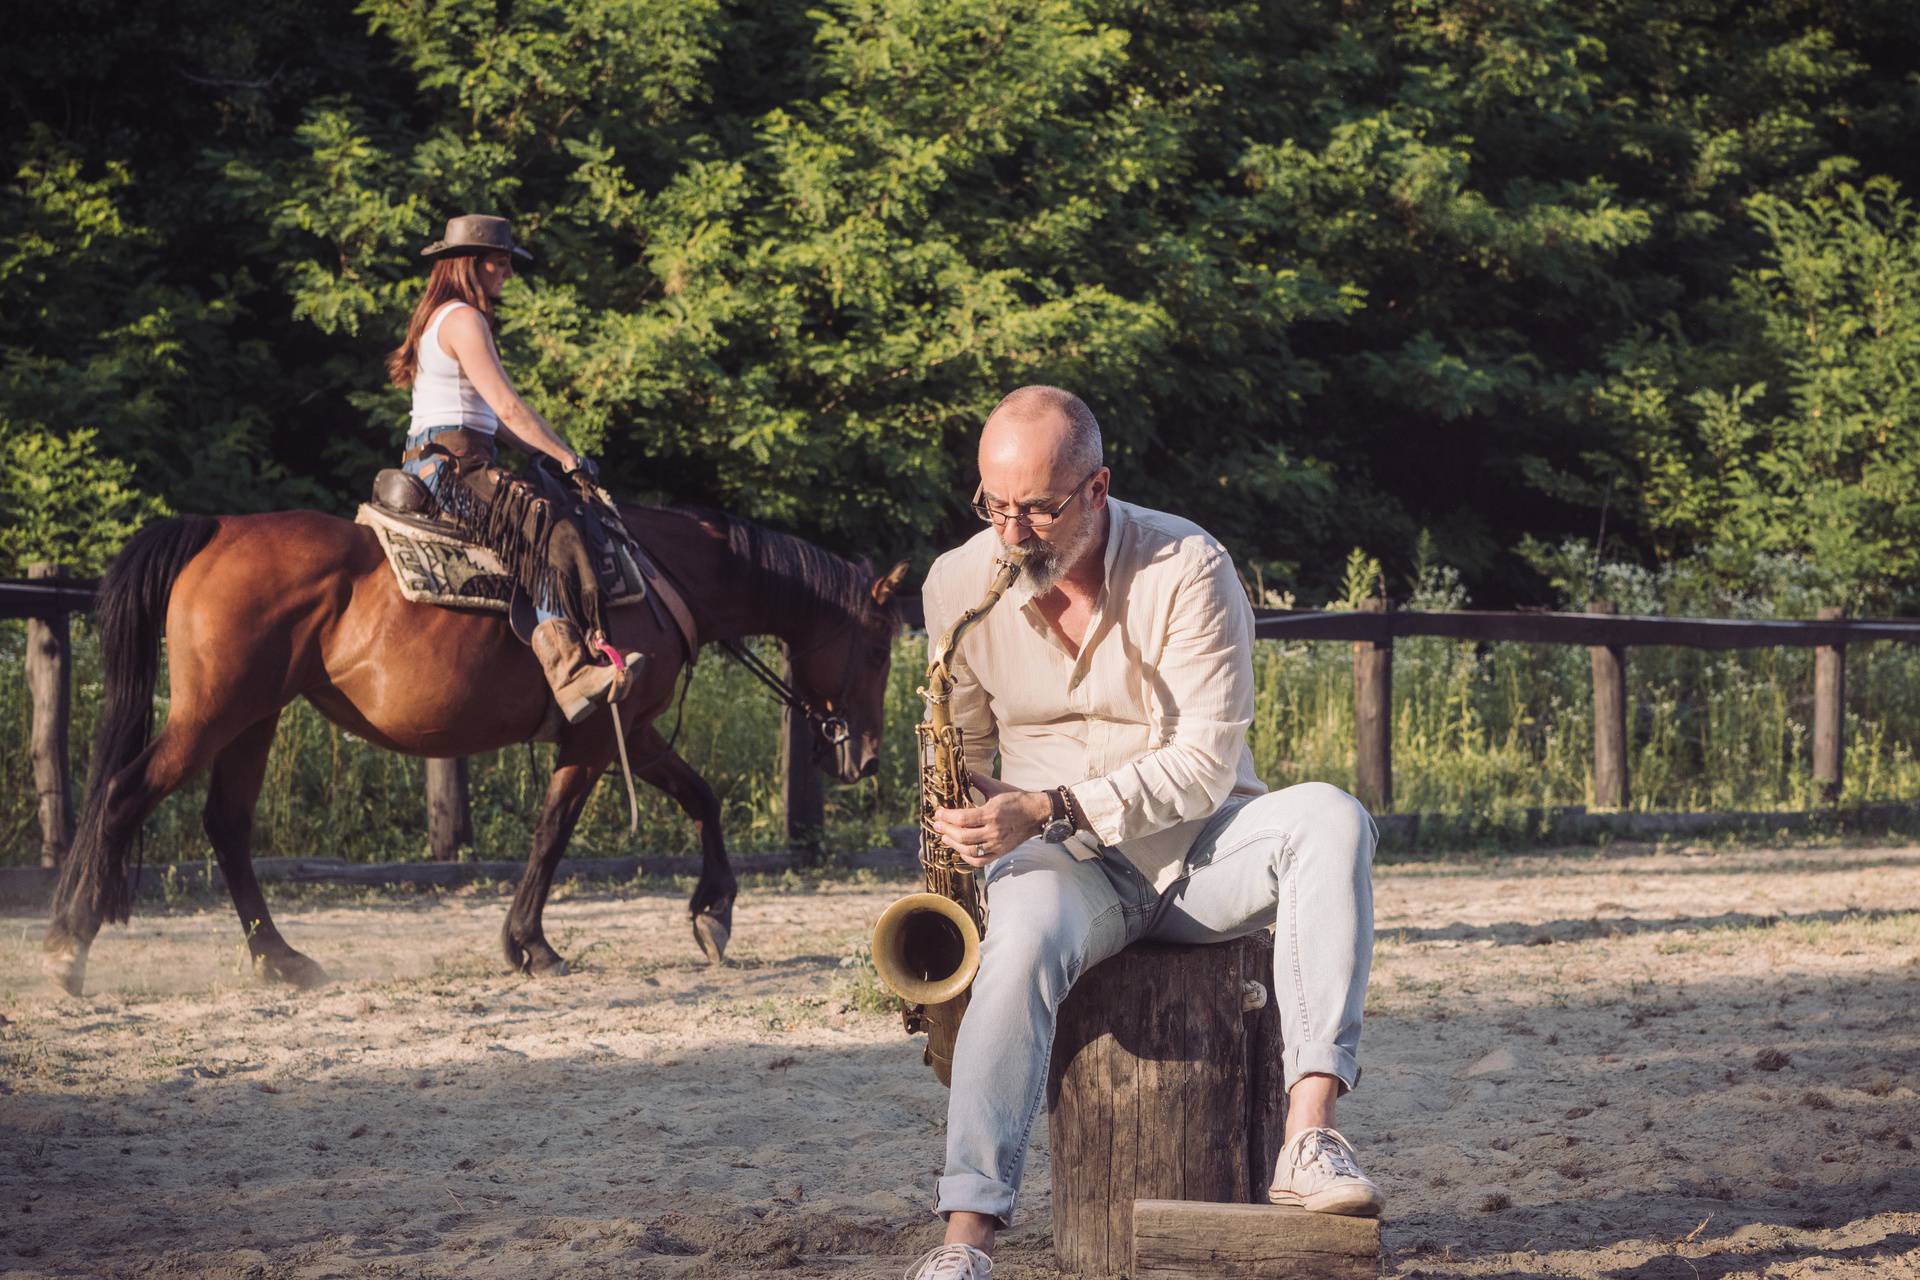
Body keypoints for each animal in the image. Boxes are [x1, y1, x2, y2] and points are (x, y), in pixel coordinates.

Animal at [46, 506, 906, 997]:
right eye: (876, 650)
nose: (863, 756)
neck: (662, 576)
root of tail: (217, 529)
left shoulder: (628, 729)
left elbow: (700, 795)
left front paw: (713, 913)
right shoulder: (597, 733)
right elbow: (554, 834)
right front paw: (531, 945)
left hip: (254, 717)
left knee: (226, 826)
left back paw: (281, 961)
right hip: (214, 714)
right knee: (124, 794)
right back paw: (68, 948)